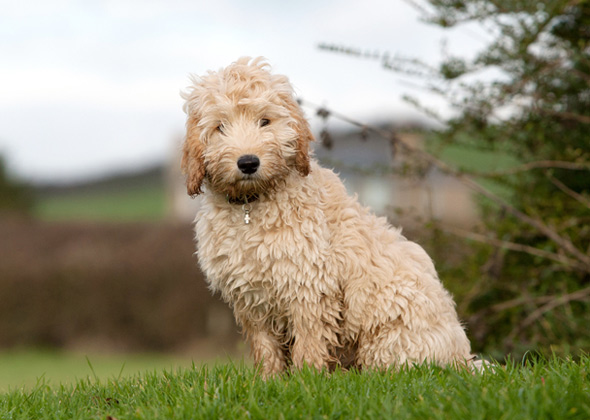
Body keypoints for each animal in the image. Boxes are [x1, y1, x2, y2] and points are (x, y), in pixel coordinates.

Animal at [180, 57, 476, 376]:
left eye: (265, 121)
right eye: (220, 127)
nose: (248, 162)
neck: (252, 206)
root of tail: (464, 359)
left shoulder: (308, 285)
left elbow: (309, 340)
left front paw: (307, 378)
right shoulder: (250, 297)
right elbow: (265, 345)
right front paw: (269, 379)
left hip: (391, 319)